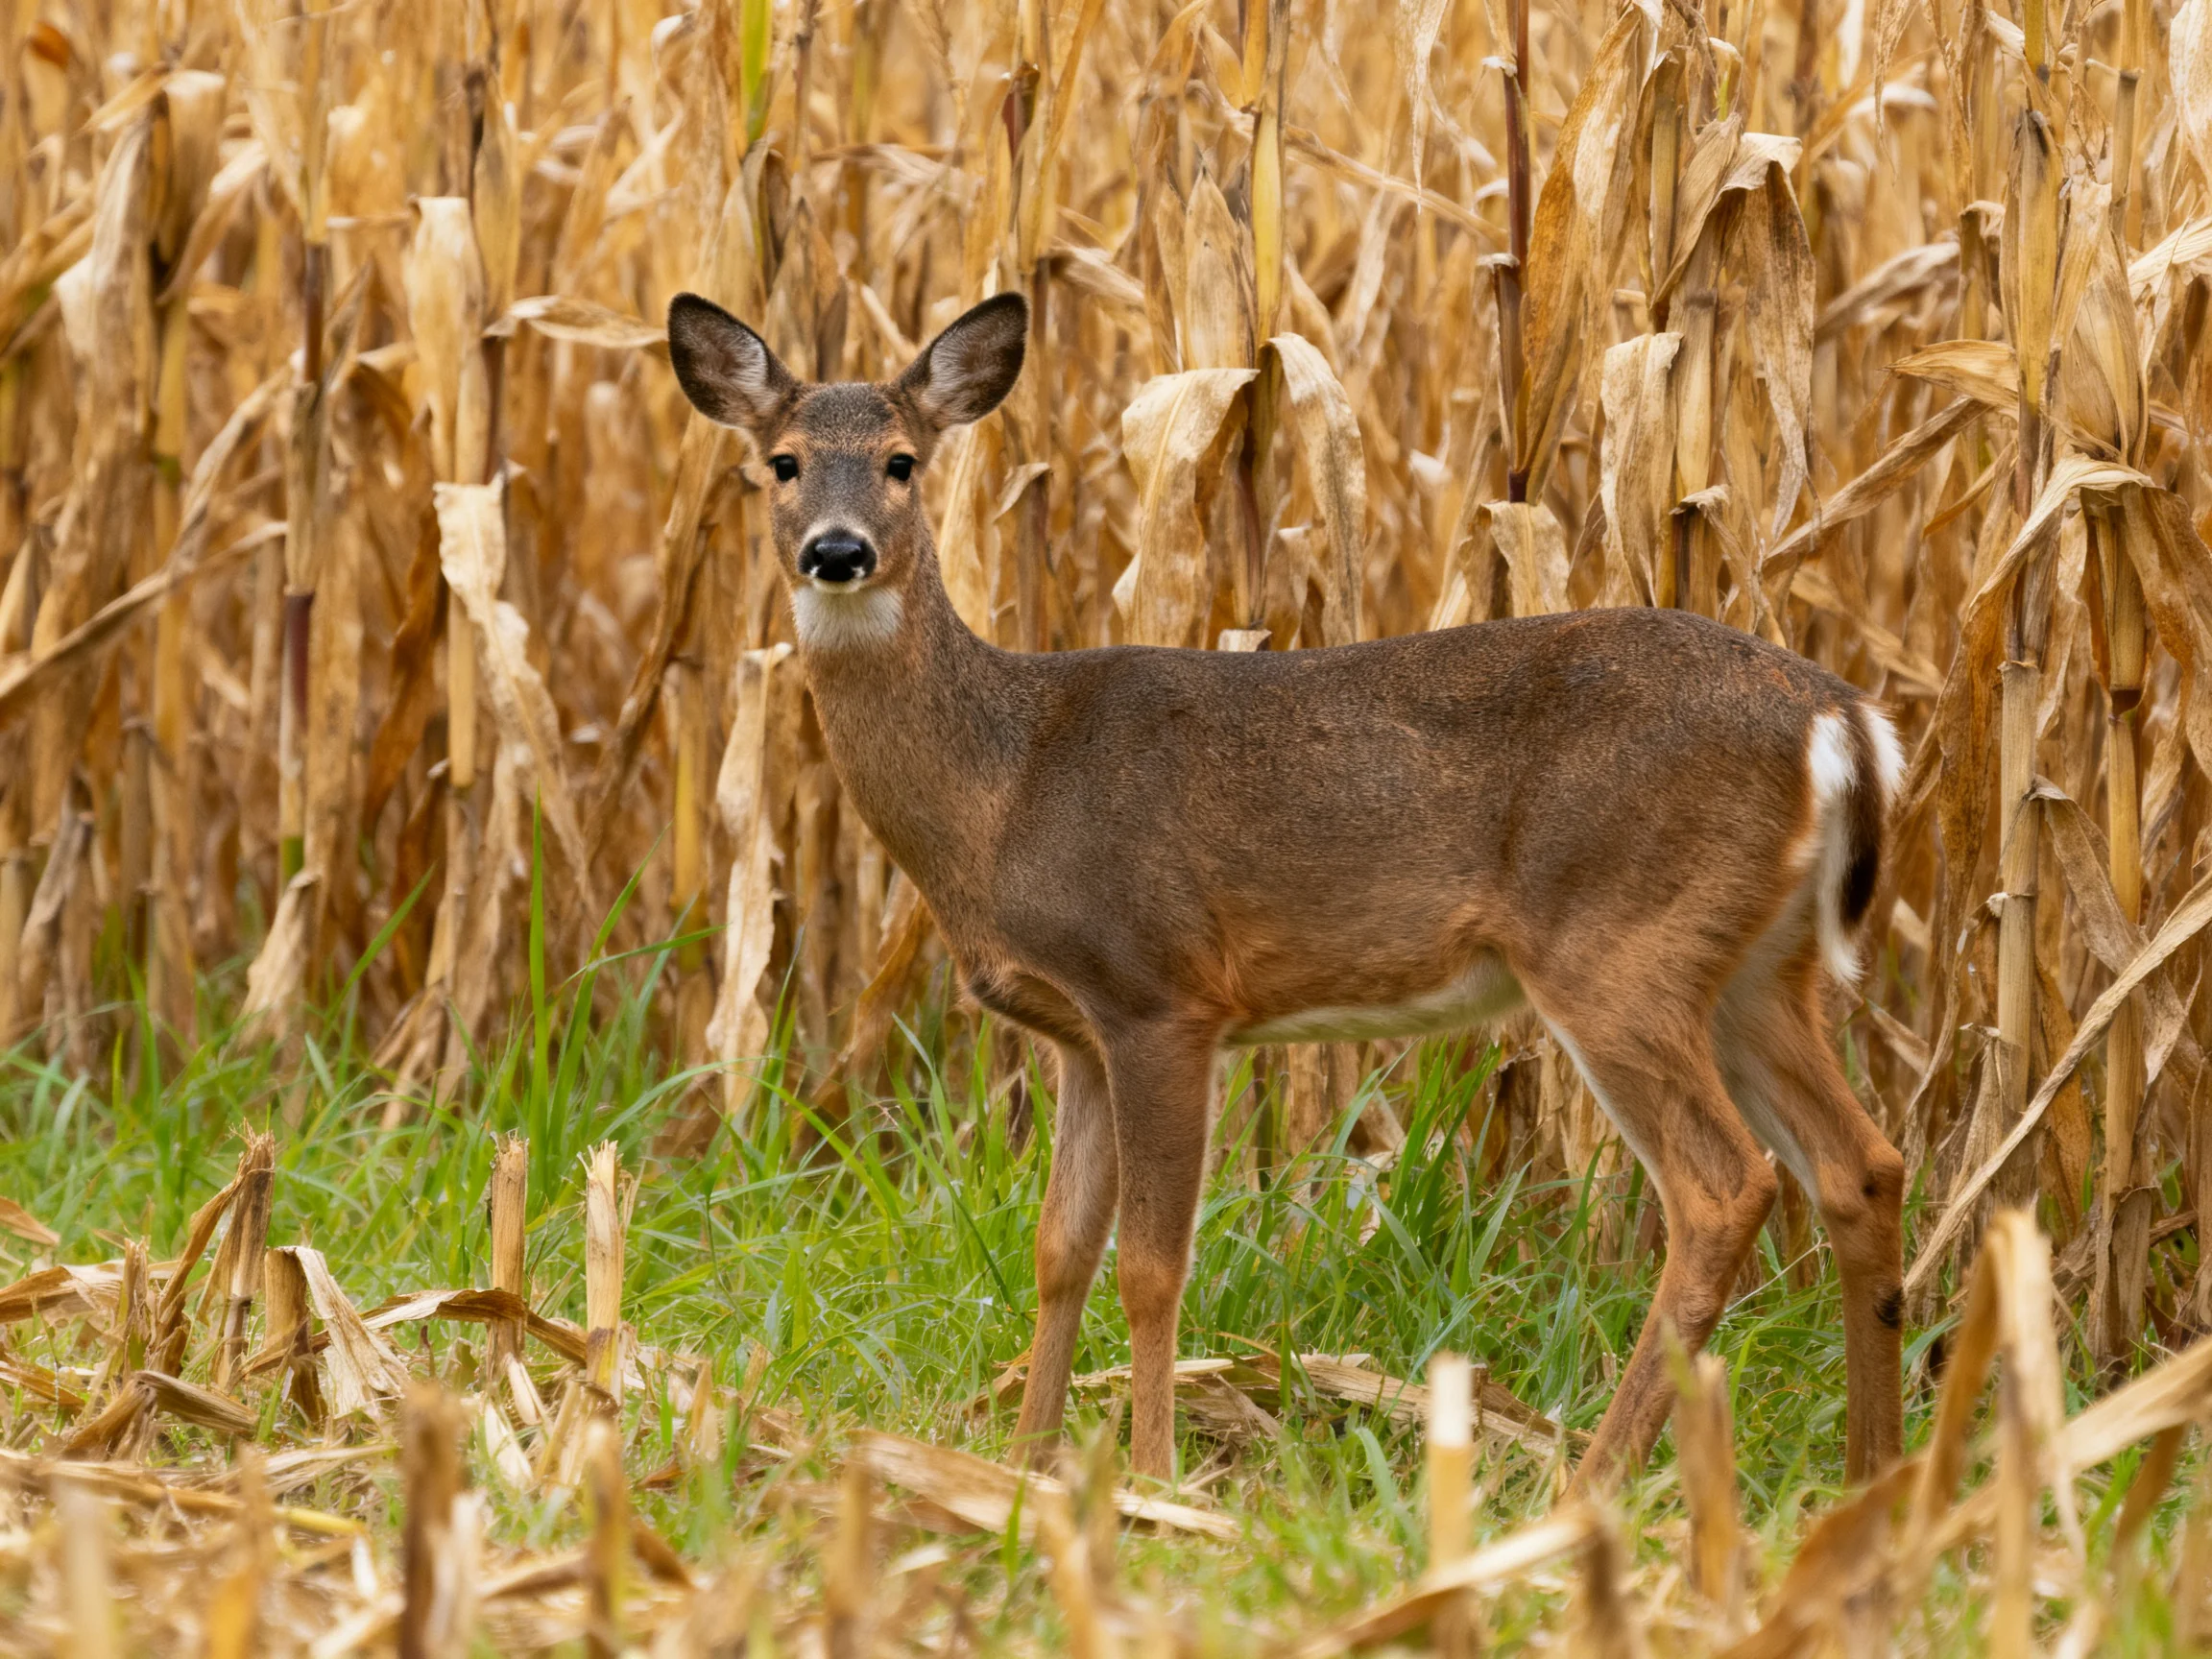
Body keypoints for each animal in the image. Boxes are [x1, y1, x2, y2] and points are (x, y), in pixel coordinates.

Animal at [665, 287, 1910, 1494]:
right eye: (780, 461)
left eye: (901, 461)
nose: (837, 551)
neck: (1006, 786)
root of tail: (1840, 718)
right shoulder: (1077, 1030)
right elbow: (1059, 1250)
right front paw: (1021, 1463)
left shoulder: (1161, 990)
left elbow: (1151, 1262)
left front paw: (1155, 1478)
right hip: (1757, 965)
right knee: (1862, 1164)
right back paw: (1870, 1477)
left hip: (1619, 944)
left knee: (1724, 1188)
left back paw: (1595, 1485)